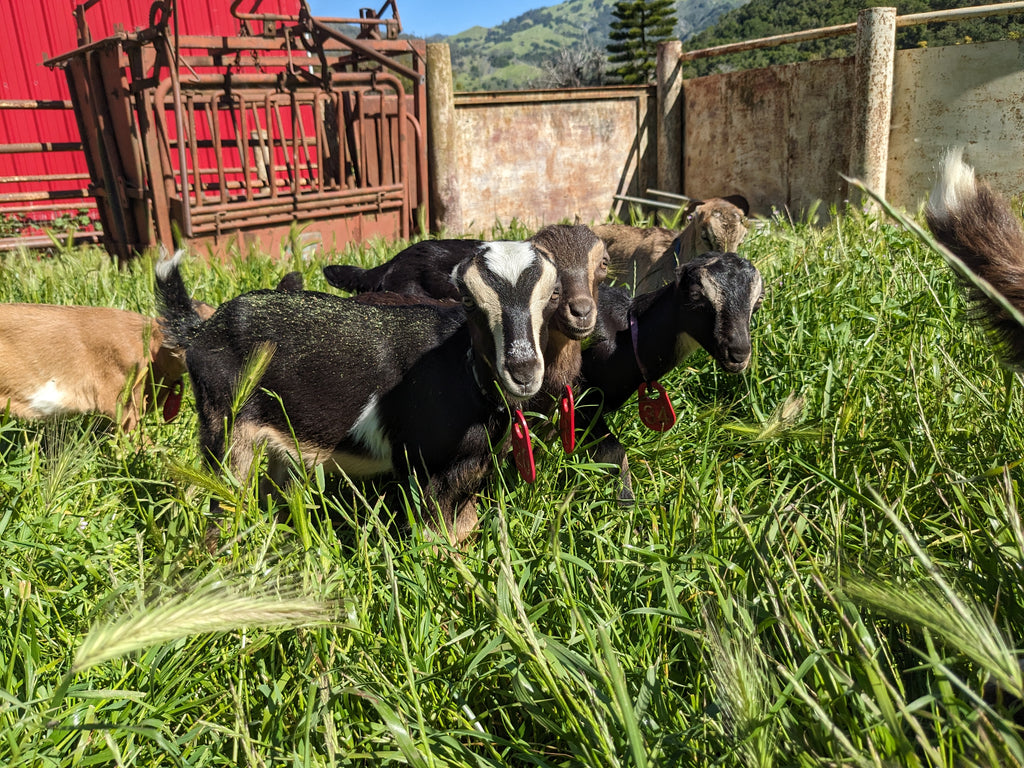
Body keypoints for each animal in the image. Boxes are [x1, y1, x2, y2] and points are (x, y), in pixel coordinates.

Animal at [156, 244, 561, 544]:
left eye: (553, 297)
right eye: (468, 300)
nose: (523, 371)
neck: (461, 368)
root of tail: (201, 330)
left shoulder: (469, 468)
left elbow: (465, 527)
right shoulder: (422, 467)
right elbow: (434, 538)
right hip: (224, 425)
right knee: (224, 497)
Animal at [577, 251, 763, 500]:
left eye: (759, 300)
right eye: (695, 294)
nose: (738, 354)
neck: (624, 337)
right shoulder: (580, 398)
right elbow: (614, 451)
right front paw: (626, 502)